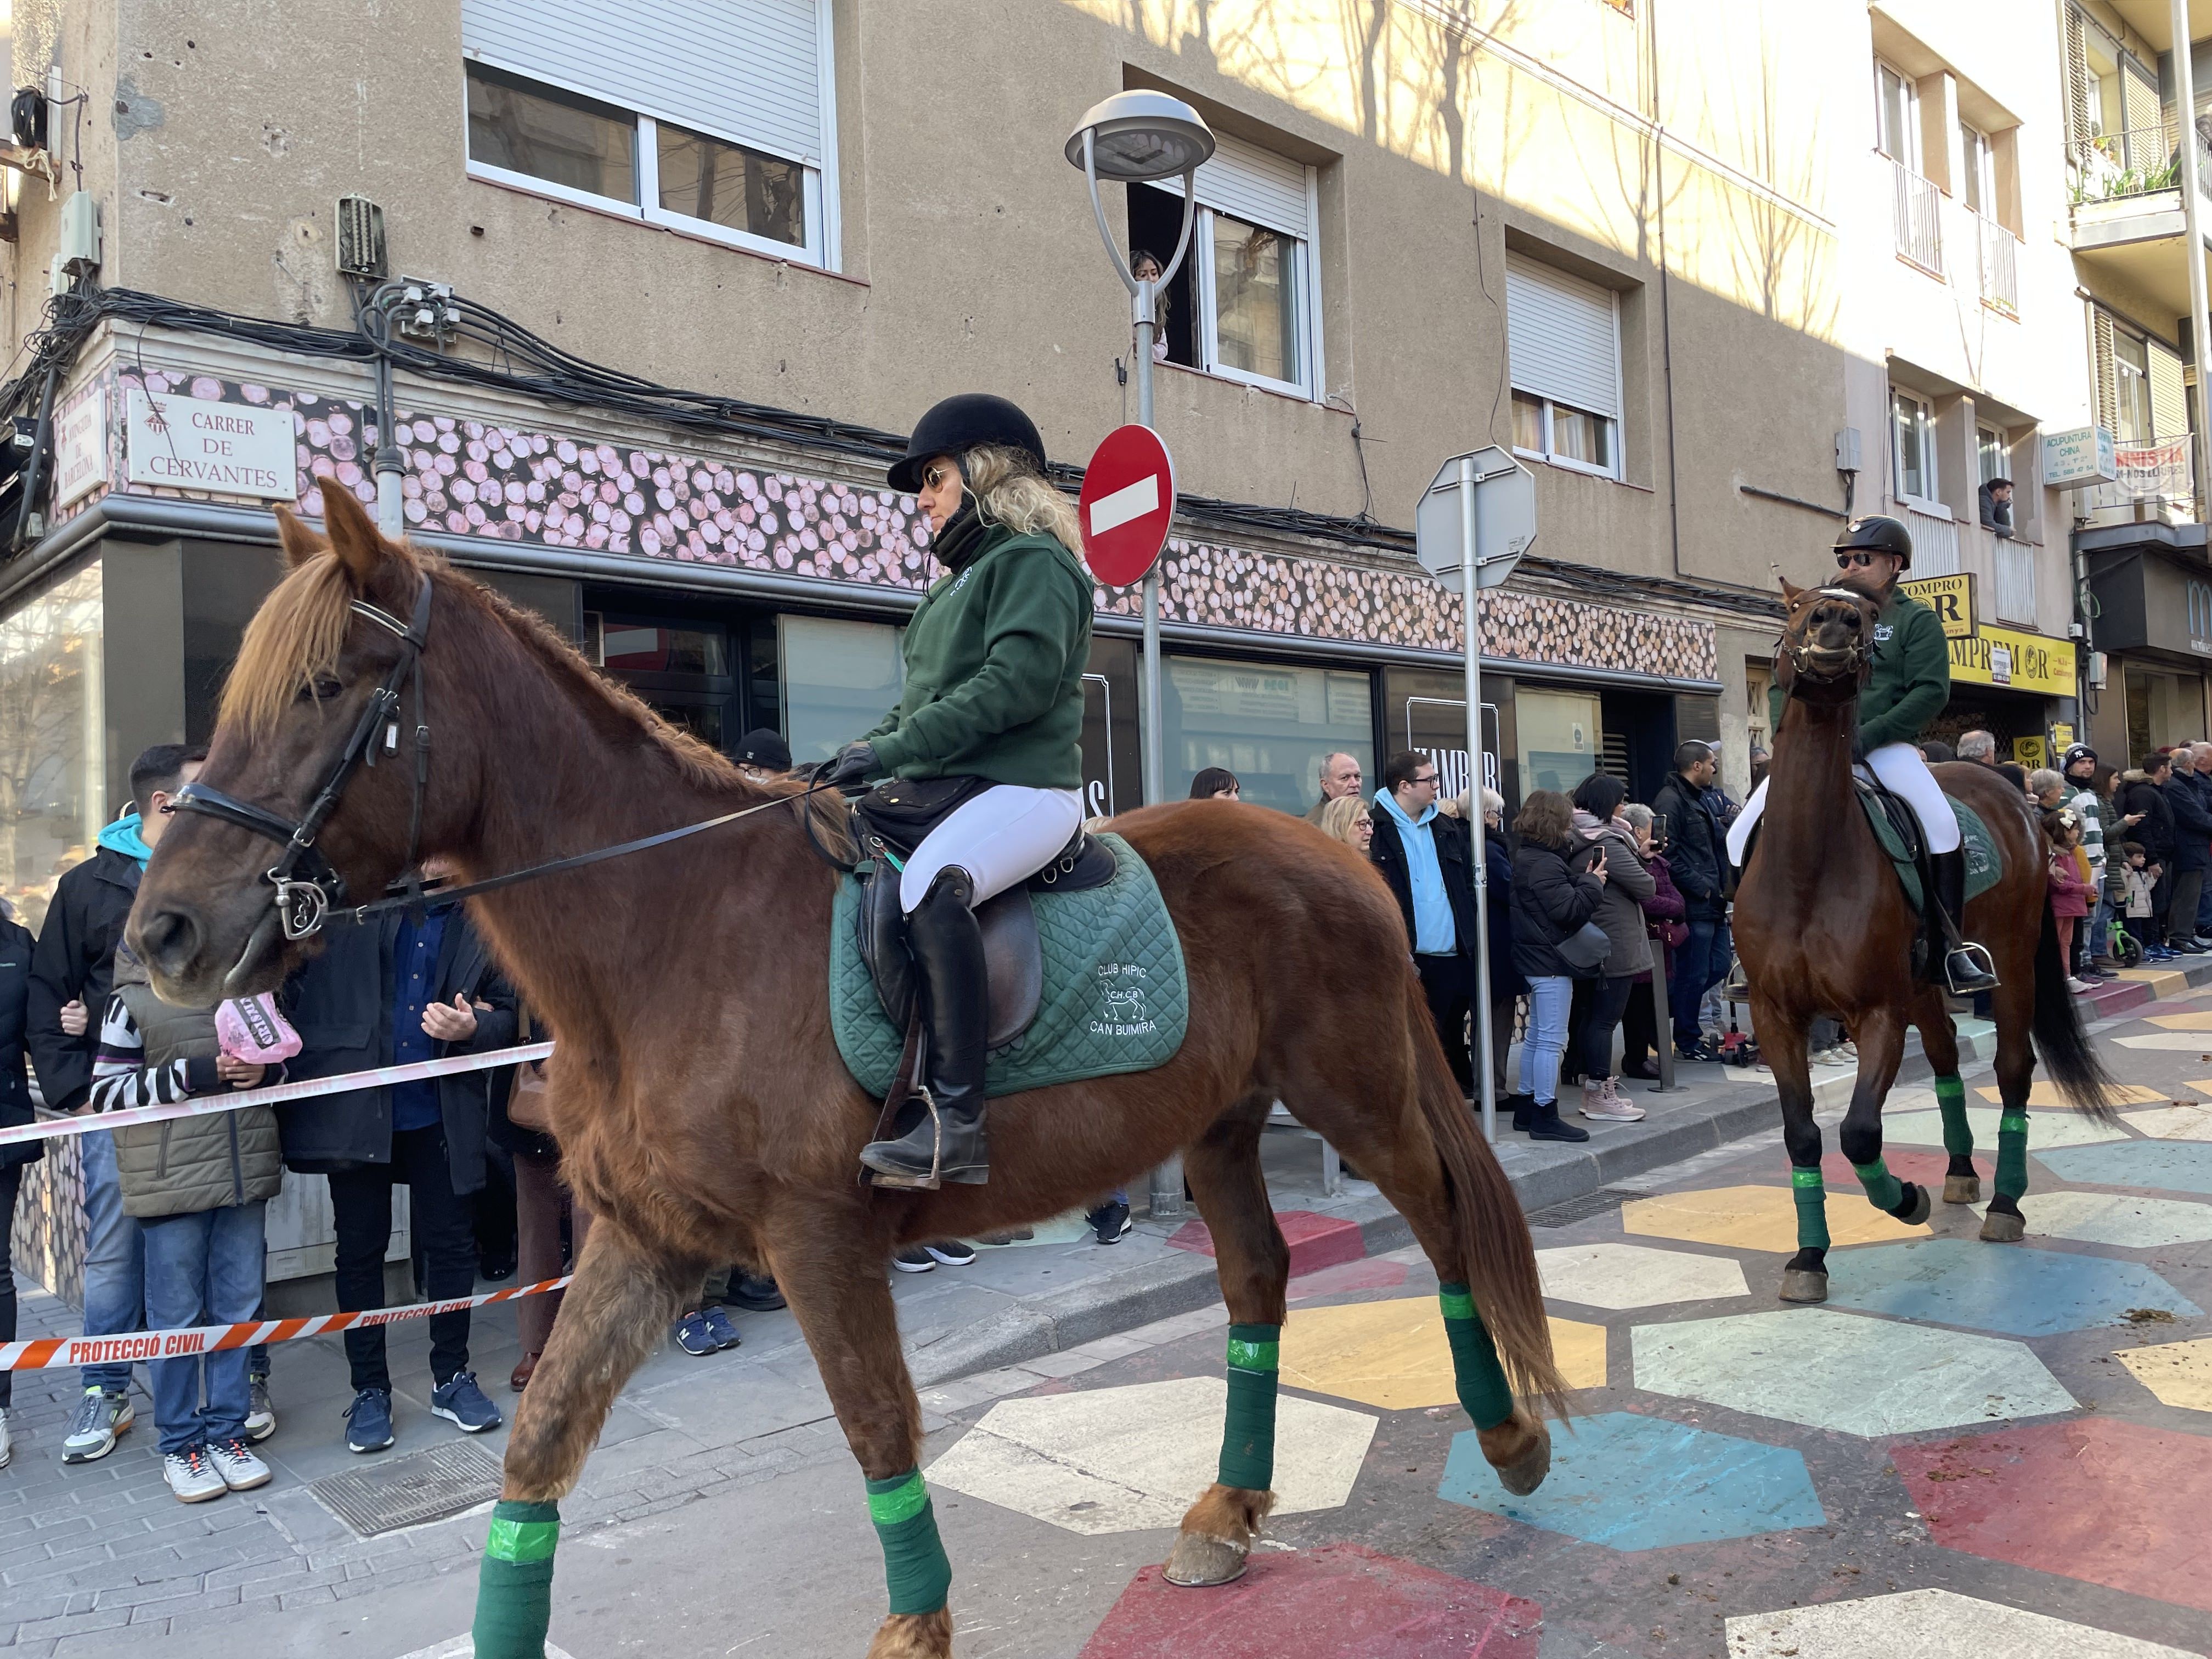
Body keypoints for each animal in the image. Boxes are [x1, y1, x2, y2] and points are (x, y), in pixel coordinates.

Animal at [125, 491, 1575, 1659]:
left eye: (326, 688)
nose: (164, 934)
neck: (674, 927)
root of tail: (1338, 851)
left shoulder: (814, 1234)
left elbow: (877, 1423)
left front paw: (918, 1625)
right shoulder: (651, 1239)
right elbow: (539, 1452)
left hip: (1356, 1091)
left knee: (1443, 1222)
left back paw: (1512, 1441)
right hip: (1217, 1122)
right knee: (1260, 1278)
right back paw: (1228, 1510)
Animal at [1725, 579, 2106, 1309]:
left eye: (1869, 618)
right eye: (1798, 608)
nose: (1836, 623)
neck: (1808, 865)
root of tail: (2012, 794)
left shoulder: (1875, 1011)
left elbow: (1860, 1133)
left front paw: (1904, 1199)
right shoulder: (1774, 1015)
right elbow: (1803, 1135)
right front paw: (1809, 1258)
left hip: (2011, 965)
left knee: (2013, 1072)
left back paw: (2004, 1206)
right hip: (1929, 988)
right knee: (1948, 1062)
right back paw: (1959, 1172)